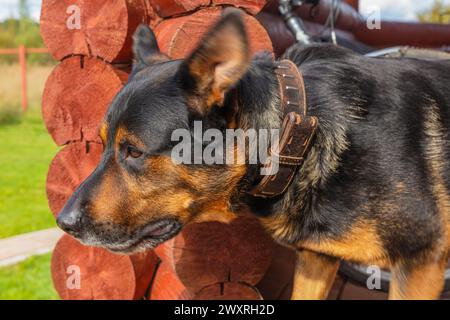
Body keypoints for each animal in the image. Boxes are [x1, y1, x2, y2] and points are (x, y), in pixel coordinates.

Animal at [56, 10, 450, 300]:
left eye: (134, 151)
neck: (298, 130)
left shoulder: (420, 266)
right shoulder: (316, 260)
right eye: (104, 145)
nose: (64, 223)